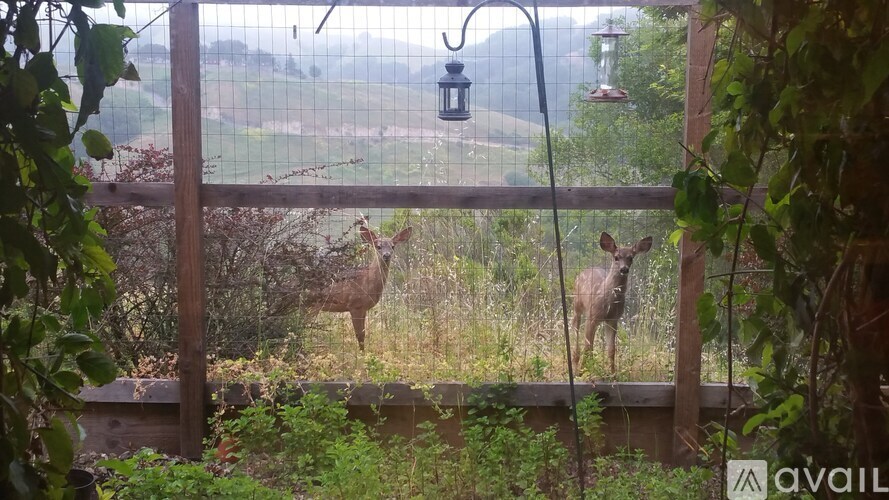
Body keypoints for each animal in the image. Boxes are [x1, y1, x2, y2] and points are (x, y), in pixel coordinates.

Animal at [571, 232, 652, 374]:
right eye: (616, 257)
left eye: (631, 258)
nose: (624, 269)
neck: (609, 303)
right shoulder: (592, 316)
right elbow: (588, 346)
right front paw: (583, 371)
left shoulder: (613, 319)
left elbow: (611, 349)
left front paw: (613, 373)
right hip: (577, 305)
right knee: (575, 329)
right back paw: (575, 366)